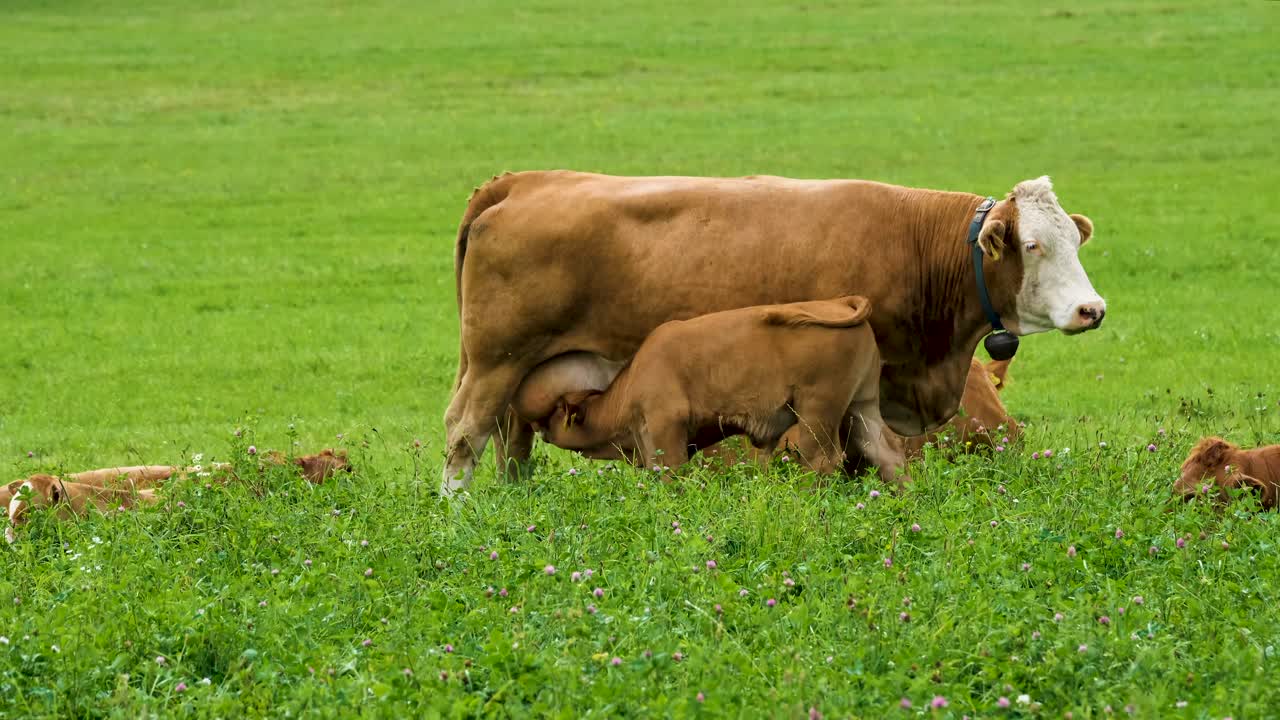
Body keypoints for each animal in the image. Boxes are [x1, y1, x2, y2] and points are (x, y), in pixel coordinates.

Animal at [443, 171, 1106, 494]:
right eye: (1031, 245)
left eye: (1074, 242)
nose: (1091, 310)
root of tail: (527, 179)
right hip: (494, 362)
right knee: (464, 435)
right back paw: (461, 512)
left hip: (524, 376)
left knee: (511, 443)